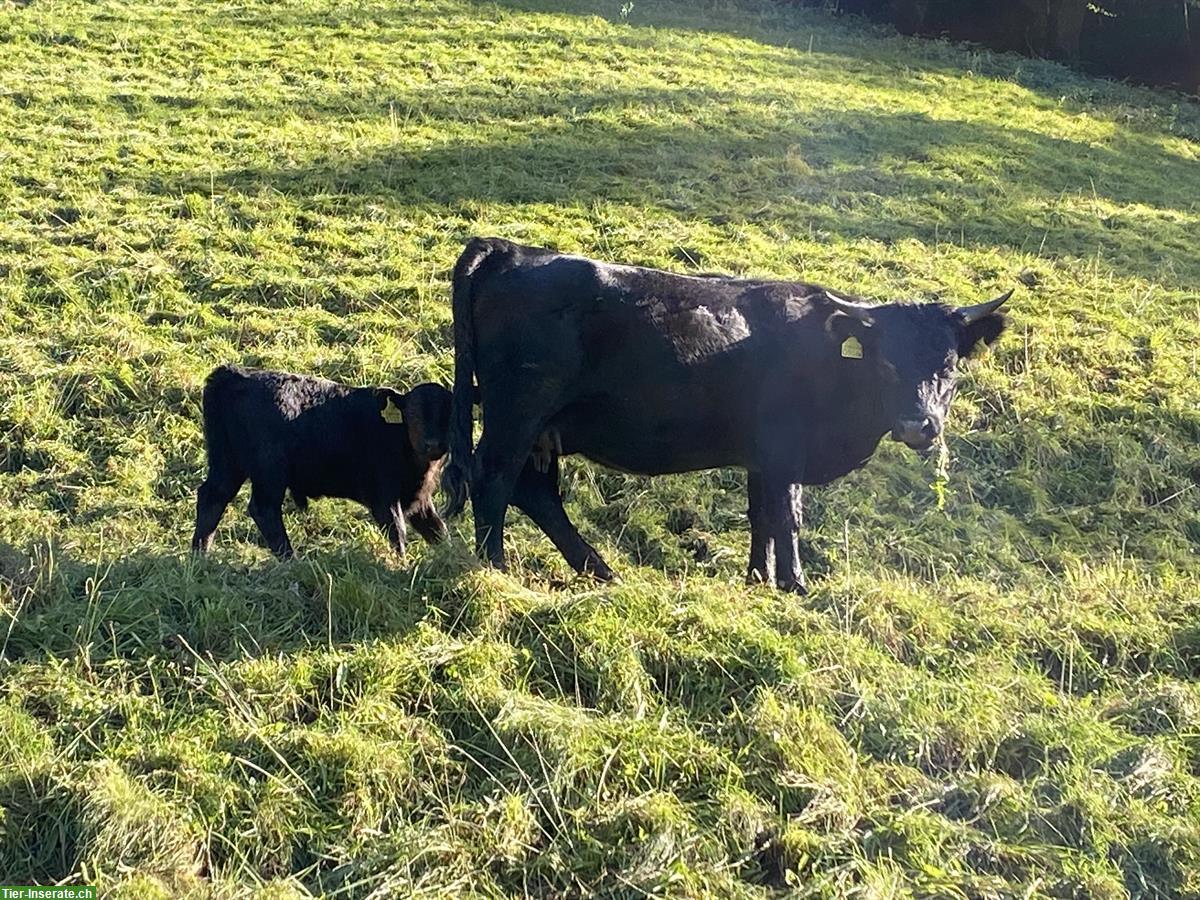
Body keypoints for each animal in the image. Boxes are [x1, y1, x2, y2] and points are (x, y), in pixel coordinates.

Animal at [194, 364, 451, 556]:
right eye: (413, 414)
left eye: (447, 414)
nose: (432, 444)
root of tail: (234, 374)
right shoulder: (383, 496)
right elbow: (398, 534)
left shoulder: (419, 501)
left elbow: (439, 531)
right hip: (269, 470)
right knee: (263, 509)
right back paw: (291, 560)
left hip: (227, 461)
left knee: (212, 498)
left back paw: (200, 556)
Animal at [441, 236, 1012, 595]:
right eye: (887, 362)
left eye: (948, 364)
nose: (920, 425)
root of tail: (513, 251)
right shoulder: (785, 449)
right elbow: (788, 516)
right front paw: (795, 584)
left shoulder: (763, 458)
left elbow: (762, 515)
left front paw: (758, 579)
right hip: (517, 415)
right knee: (494, 479)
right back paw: (493, 566)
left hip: (543, 429)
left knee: (536, 494)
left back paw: (600, 571)